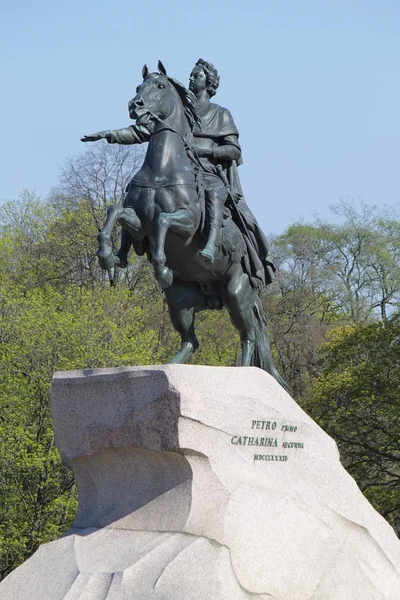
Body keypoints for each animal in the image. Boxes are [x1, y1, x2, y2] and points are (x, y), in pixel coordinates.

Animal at [86, 63, 290, 392]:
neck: (162, 169)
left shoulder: (186, 224)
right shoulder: (138, 224)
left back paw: (243, 374)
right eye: (138, 87)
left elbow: (163, 220)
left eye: (159, 86)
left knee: (248, 337)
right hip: (179, 301)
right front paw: (108, 256)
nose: (135, 106)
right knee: (191, 340)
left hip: (237, 292)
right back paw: (169, 367)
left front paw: (161, 267)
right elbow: (115, 211)